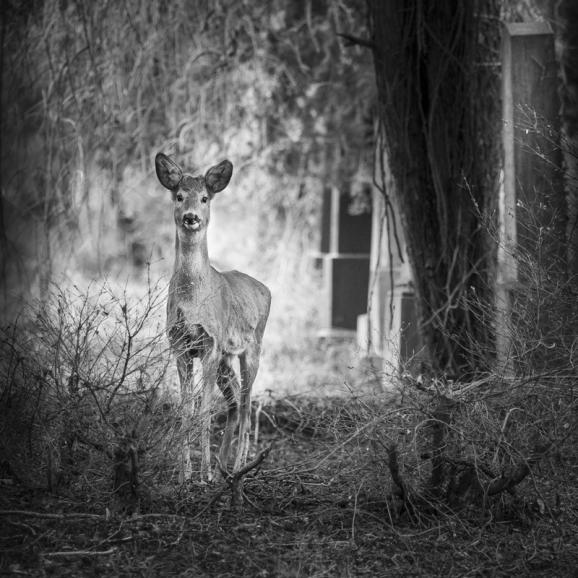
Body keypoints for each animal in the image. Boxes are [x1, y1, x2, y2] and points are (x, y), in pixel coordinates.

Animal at [153, 151, 270, 480]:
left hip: (251, 349)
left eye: (204, 198)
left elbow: (205, 409)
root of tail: (265, 288)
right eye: (179, 196)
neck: (193, 299)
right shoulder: (180, 344)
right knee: (233, 404)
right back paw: (221, 469)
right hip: (225, 361)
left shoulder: (211, 343)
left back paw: (237, 467)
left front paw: (201, 475)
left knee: (246, 405)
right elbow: (185, 408)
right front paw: (185, 474)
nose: (191, 216)